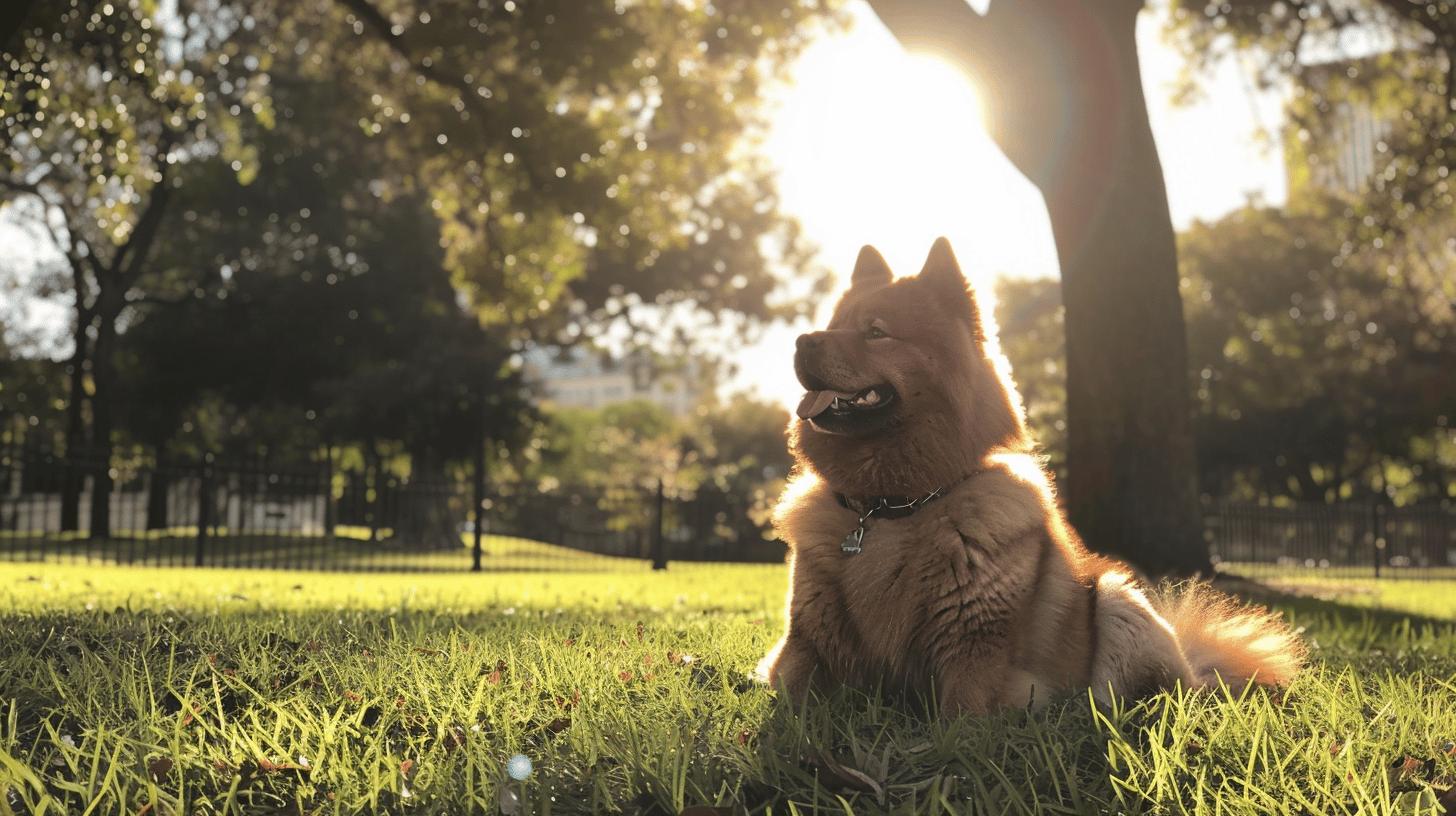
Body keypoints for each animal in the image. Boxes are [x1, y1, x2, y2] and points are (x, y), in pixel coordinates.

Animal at [757, 238, 1304, 716]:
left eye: (875, 332)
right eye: (832, 325)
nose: (802, 342)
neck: (891, 506)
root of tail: (1195, 665)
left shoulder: (975, 655)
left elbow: (958, 723)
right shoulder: (803, 646)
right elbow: (789, 702)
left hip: (1116, 597)